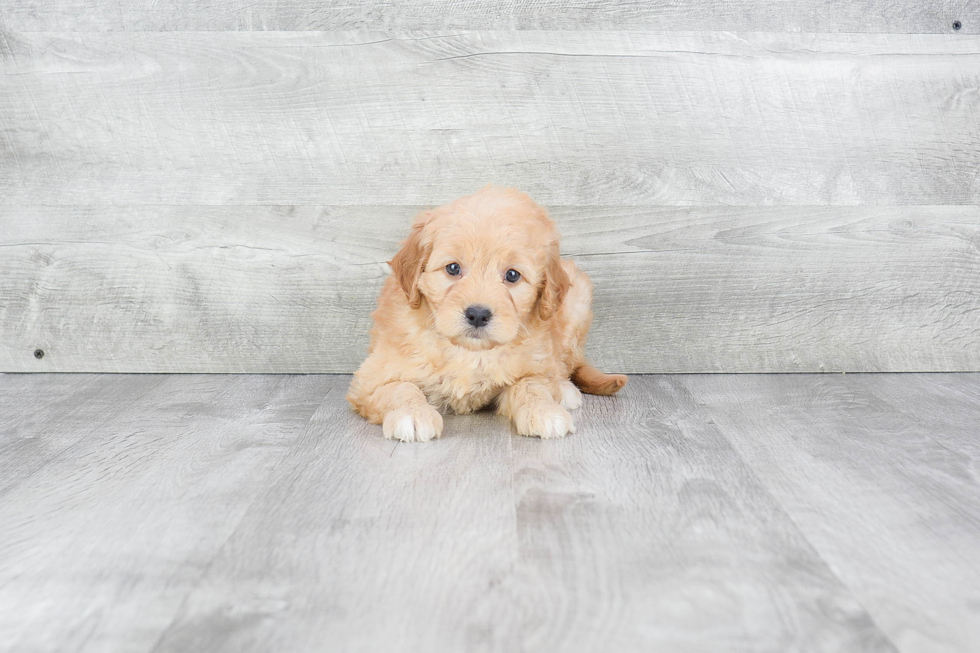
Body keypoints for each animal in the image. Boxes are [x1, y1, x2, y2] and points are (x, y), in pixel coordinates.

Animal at [348, 183, 628, 440]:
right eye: (453, 268)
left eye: (512, 275)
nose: (478, 315)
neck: (470, 352)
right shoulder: (370, 377)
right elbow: (398, 387)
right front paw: (412, 414)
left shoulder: (534, 363)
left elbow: (532, 384)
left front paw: (545, 411)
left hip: (577, 301)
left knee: (566, 365)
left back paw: (566, 391)